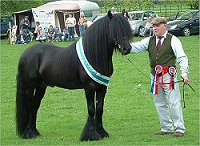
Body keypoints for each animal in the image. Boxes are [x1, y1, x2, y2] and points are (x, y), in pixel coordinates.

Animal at [16, 10, 133, 141]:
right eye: (114, 29)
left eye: (127, 28)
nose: (127, 49)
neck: (94, 54)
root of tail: (25, 53)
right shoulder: (89, 87)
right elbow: (91, 109)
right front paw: (92, 135)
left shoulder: (102, 87)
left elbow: (100, 109)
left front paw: (102, 132)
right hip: (29, 86)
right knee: (30, 105)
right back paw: (29, 133)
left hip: (41, 86)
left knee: (35, 106)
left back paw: (34, 131)